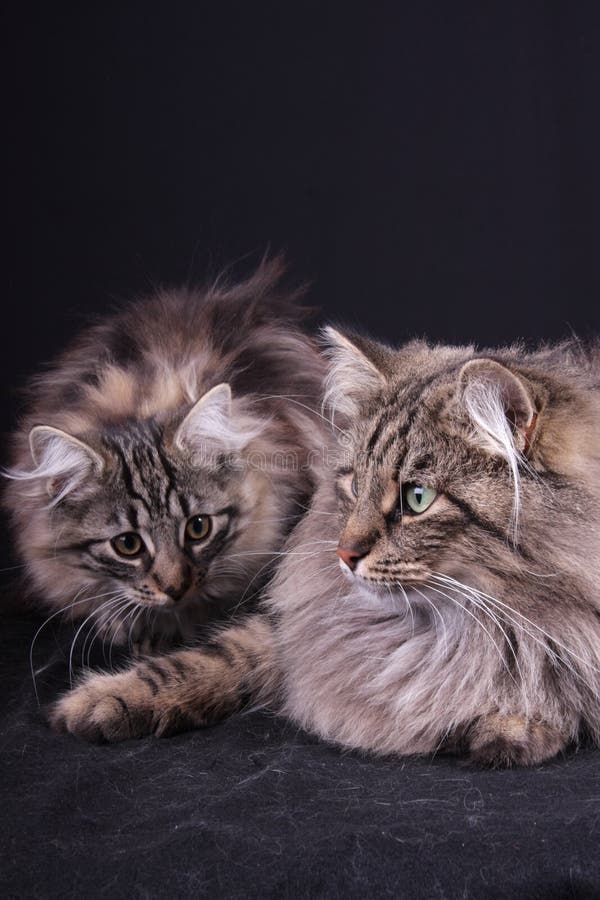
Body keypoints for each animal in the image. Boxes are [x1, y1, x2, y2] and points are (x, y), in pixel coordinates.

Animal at [49, 326, 600, 764]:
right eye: (354, 484)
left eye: (417, 498)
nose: (345, 555)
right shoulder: (290, 631)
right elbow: (212, 658)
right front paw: (103, 700)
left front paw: (512, 723)